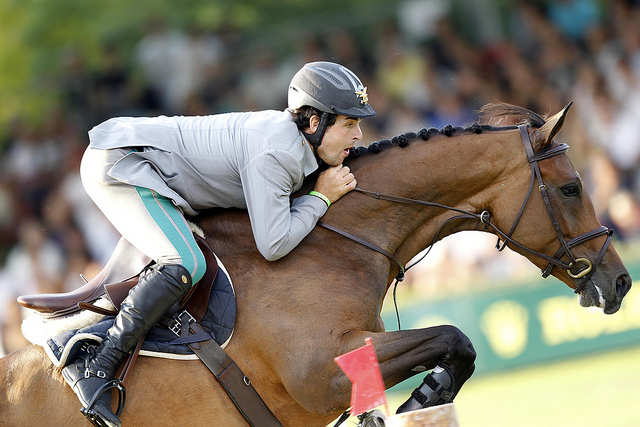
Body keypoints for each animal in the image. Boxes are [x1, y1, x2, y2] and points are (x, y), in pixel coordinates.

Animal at [1, 103, 632, 426]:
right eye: (572, 188)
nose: (621, 281)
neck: (333, 244)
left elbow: (456, 346)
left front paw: (422, 400)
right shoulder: (321, 376)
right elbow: (454, 335)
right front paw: (422, 399)